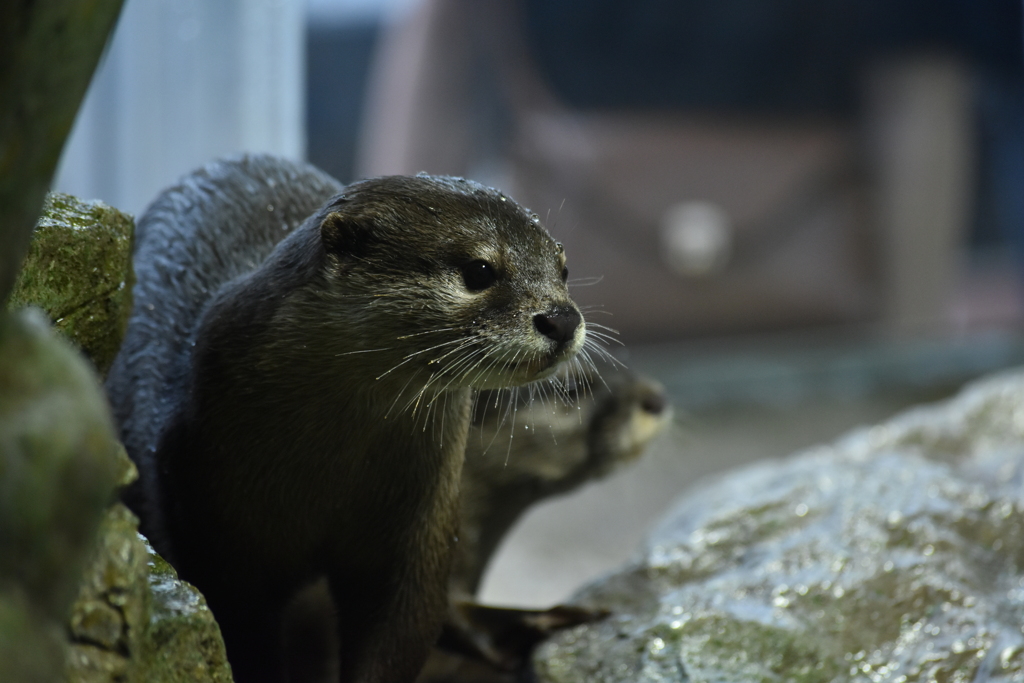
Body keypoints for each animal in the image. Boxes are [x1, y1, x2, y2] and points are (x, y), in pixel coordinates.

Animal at [105, 154, 585, 683]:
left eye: (563, 269)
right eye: (479, 270)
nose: (562, 318)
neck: (327, 474)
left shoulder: (417, 529)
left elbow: (401, 628)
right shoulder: (212, 523)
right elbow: (240, 631)